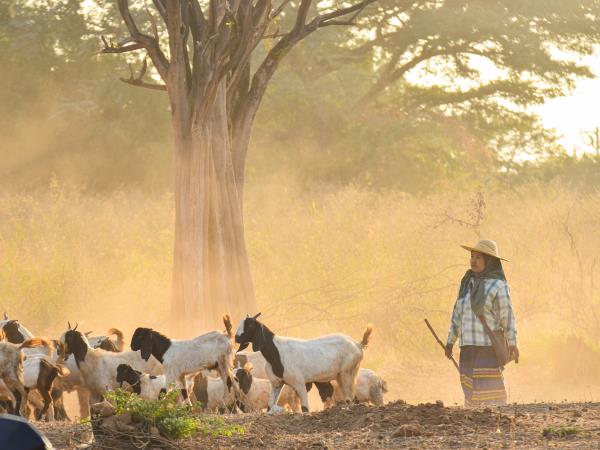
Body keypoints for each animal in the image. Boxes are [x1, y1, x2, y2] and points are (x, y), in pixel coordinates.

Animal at [233, 314, 370, 414]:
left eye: (250, 325)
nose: (236, 337)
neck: (277, 352)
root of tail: (357, 344)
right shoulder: (277, 383)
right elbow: (271, 405)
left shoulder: (299, 383)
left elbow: (305, 409)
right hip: (341, 375)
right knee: (350, 398)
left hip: (348, 372)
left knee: (351, 397)